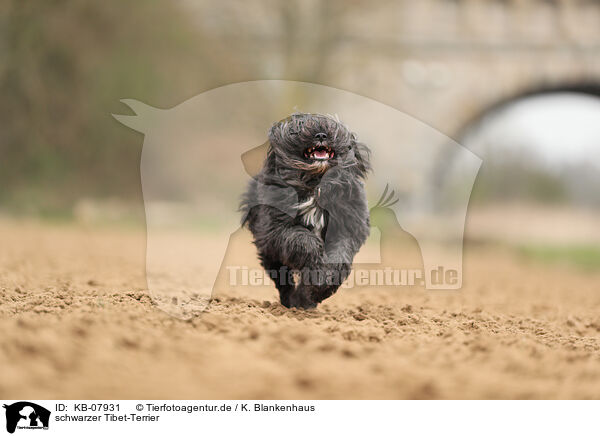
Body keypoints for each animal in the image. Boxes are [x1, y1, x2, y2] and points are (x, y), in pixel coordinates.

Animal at [240, 113, 370, 310]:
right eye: (300, 129)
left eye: (331, 128)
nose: (321, 135)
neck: (316, 183)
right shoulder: (276, 228)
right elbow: (303, 241)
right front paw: (316, 269)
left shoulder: (347, 224)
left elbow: (339, 255)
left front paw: (322, 285)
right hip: (270, 252)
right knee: (282, 279)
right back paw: (292, 301)